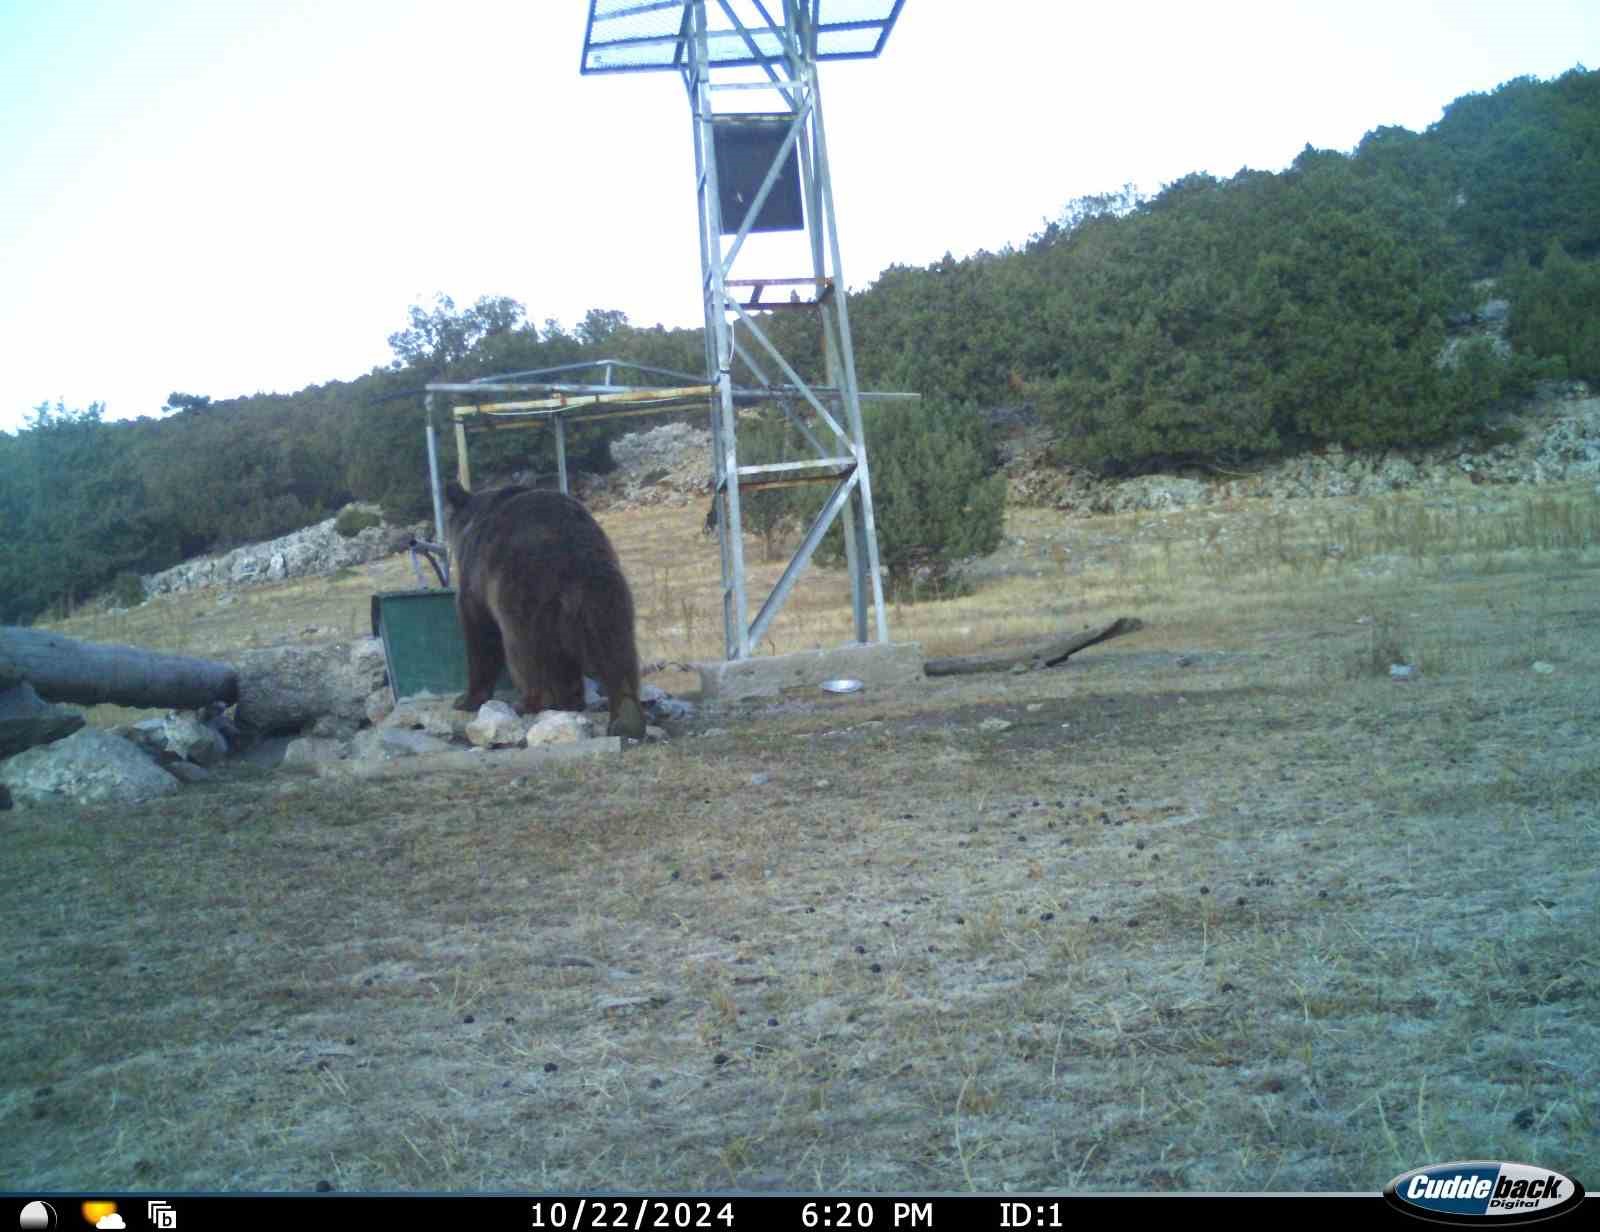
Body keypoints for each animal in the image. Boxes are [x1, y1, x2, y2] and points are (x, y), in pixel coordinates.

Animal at [444, 476, 643, 729]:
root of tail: (574, 554)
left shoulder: (475, 579)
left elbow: (480, 632)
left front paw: (467, 698)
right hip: (604, 593)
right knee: (615, 649)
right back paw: (625, 715)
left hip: (521, 593)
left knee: (525, 652)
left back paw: (528, 703)